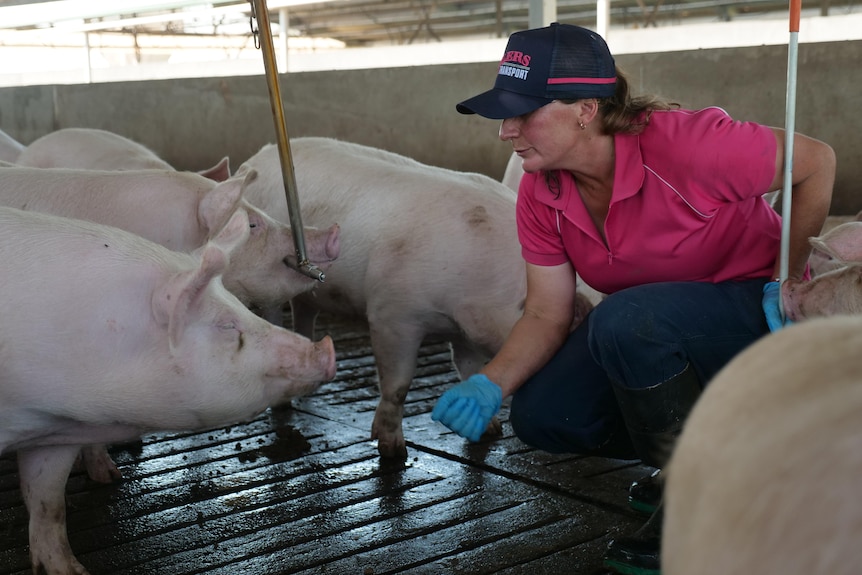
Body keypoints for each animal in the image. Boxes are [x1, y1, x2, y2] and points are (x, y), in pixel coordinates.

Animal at [0, 207, 338, 575]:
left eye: (240, 306)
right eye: (226, 325)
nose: (327, 347)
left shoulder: (53, 439)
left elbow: (48, 505)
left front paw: (73, 571)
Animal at [238, 137, 592, 462]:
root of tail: (258, 156)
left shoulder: (467, 326)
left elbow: (469, 368)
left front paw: (490, 429)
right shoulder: (391, 314)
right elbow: (398, 385)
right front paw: (394, 452)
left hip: (310, 290)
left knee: (304, 311)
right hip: (271, 278)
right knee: (274, 315)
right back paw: (283, 403)